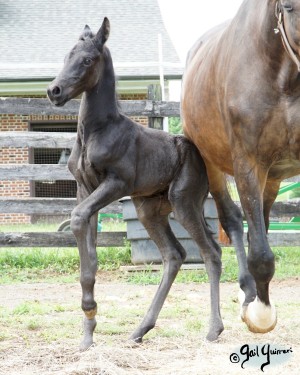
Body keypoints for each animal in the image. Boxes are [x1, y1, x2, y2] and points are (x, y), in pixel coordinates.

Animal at [182, 0, 298, 334]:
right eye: (289, 7)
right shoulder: (248, 163)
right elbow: (260, 252)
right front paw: (260, 311)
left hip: (273, 177)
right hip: (212, 164)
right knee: (233, 219)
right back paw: (248, 291)